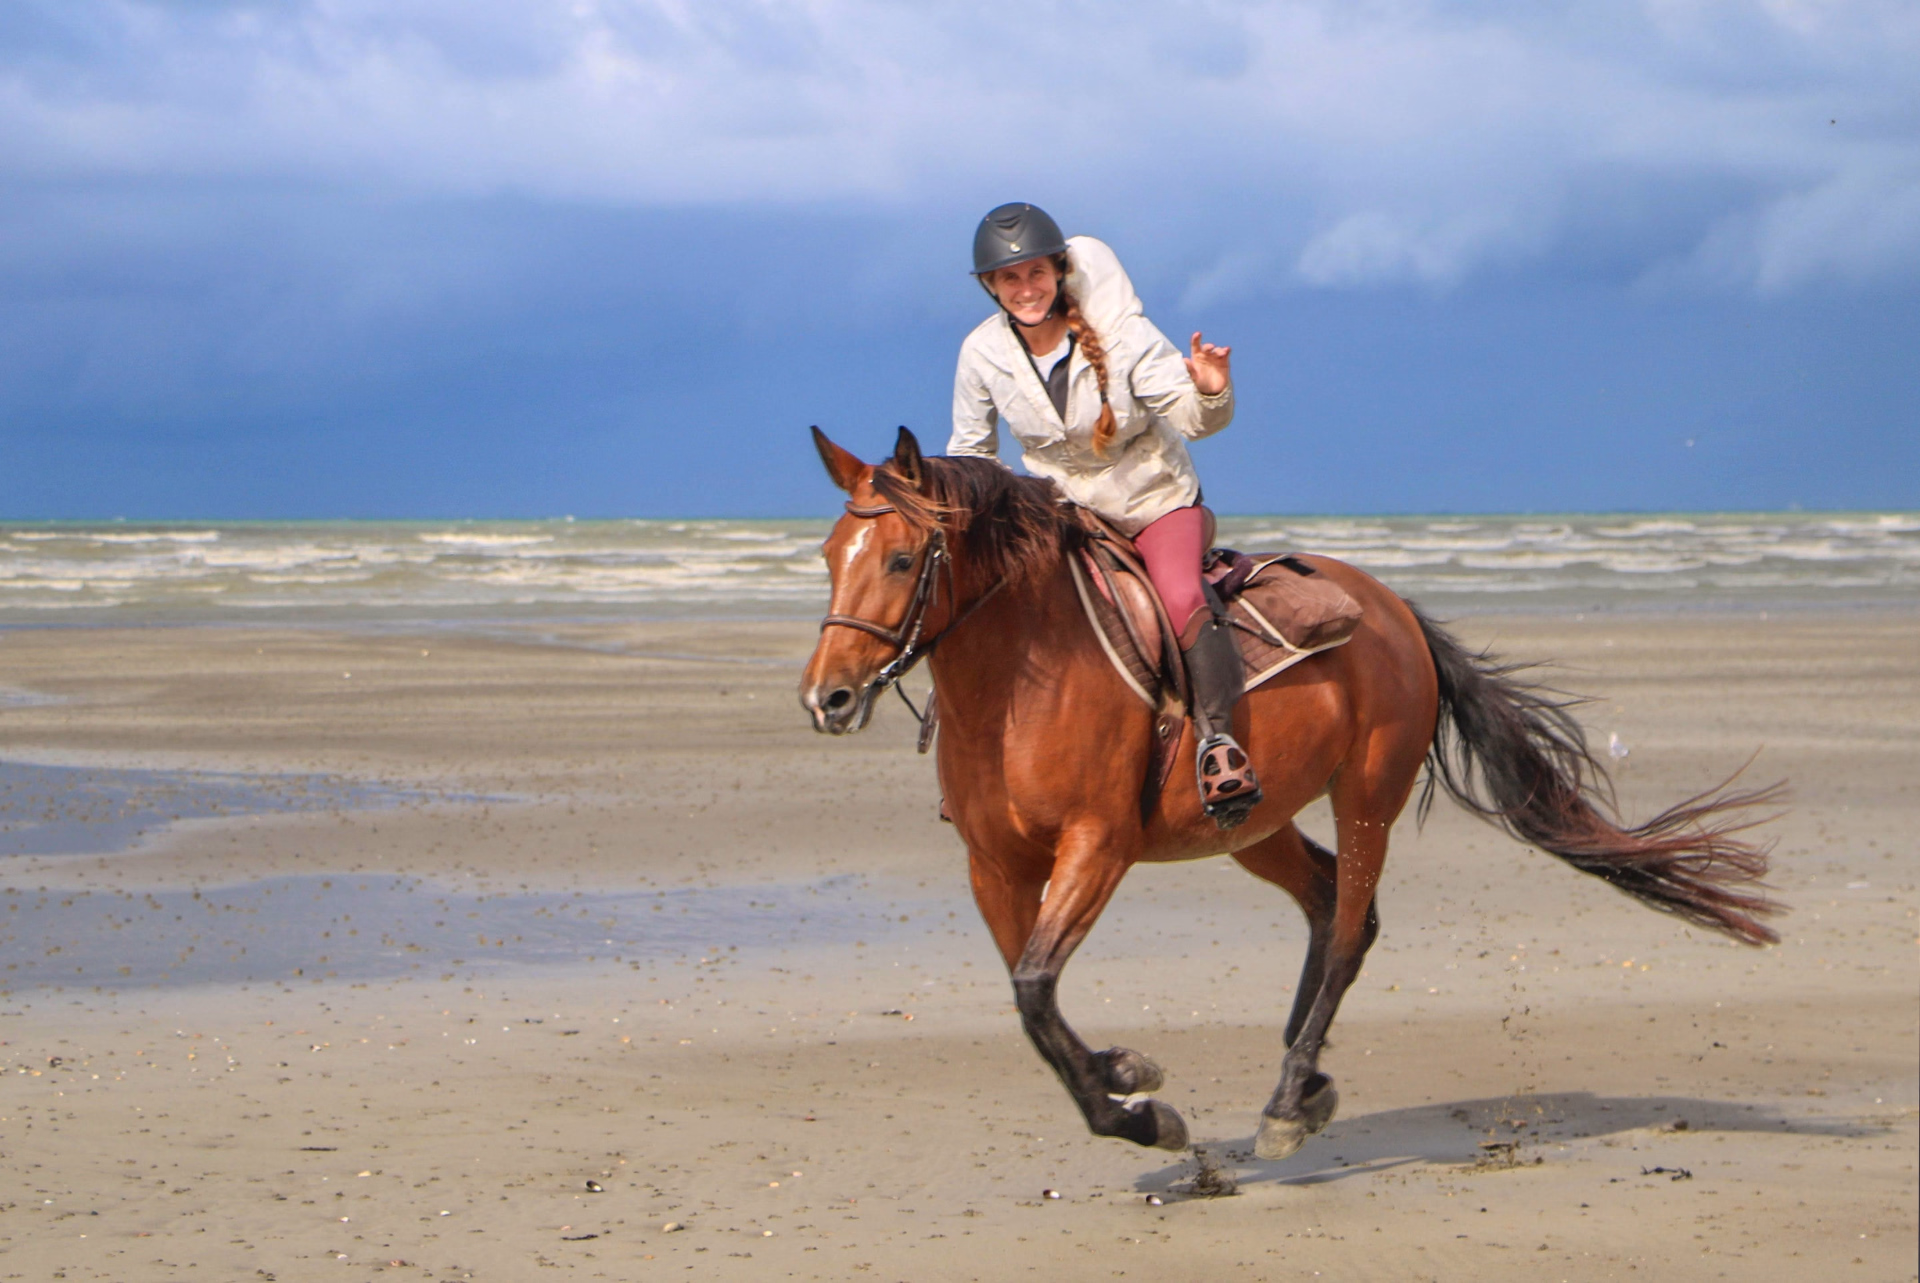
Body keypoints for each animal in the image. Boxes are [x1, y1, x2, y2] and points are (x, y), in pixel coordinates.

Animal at [799, 427, 1783, 1159]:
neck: (1017, 683)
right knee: (1328, 904)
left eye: (900, 559)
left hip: (1366, 795)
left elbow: (1036, 988)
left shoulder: (1096, 846)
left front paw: (1139, 1113)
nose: (826, 697)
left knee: (1349, 929)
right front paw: (1123, 1074)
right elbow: (1028, 994)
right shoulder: (996, 867)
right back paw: (1302, 1079)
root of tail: (1391, 607)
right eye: (829, 554)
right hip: (1251, 823)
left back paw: (1284, 1099)